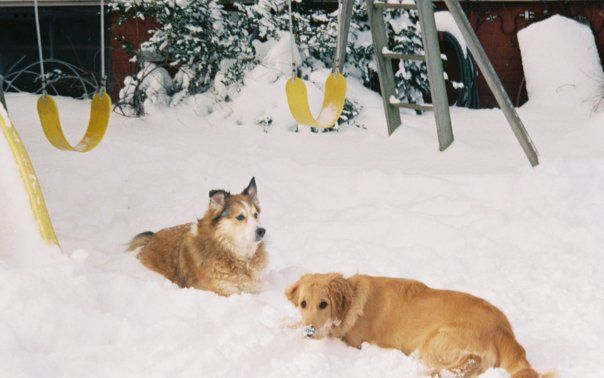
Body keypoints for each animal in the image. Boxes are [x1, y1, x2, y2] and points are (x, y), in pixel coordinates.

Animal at [286, 274, 544, 376]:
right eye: (303, 303)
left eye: (323, 304)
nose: (309, 331)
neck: (351, 303)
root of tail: (503, 329)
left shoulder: (352, 342)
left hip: (434, 342)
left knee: (466, 363)